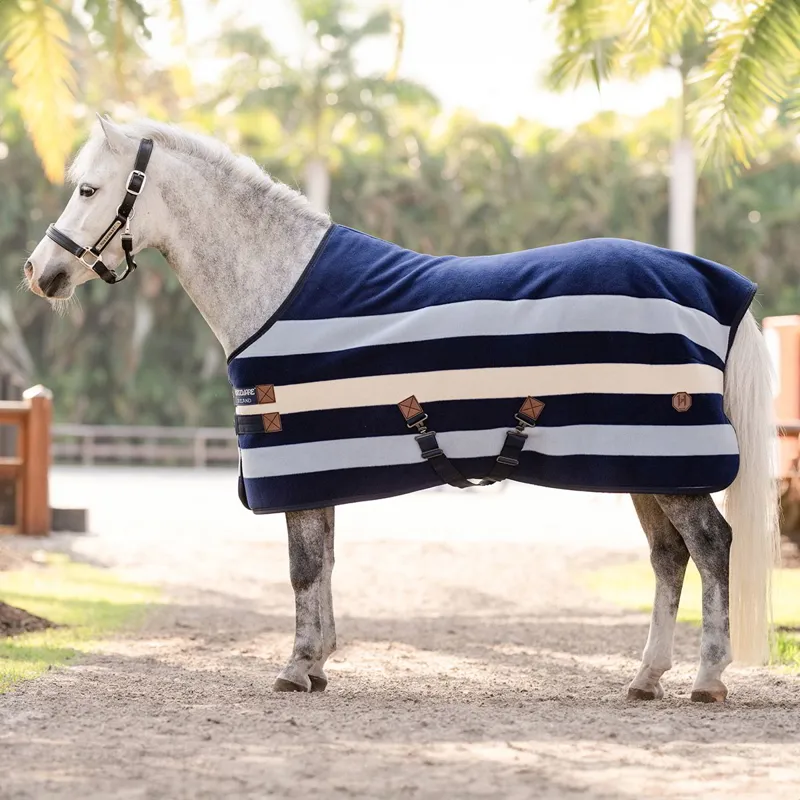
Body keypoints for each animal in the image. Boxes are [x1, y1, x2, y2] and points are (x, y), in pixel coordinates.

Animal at [25, 115, 779, 702]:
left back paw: (707, 678)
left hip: (671, 467)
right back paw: (646, 677)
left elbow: (303, 568)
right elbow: (325, 564)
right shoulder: (315, 472)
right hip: (643, 465)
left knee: (710, 547)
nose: (39, 274)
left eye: (88, 189)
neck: (278, 284)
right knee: (667, 558)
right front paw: (319, 664)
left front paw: (296, 668)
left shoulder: (295, 465)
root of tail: (714, 284)